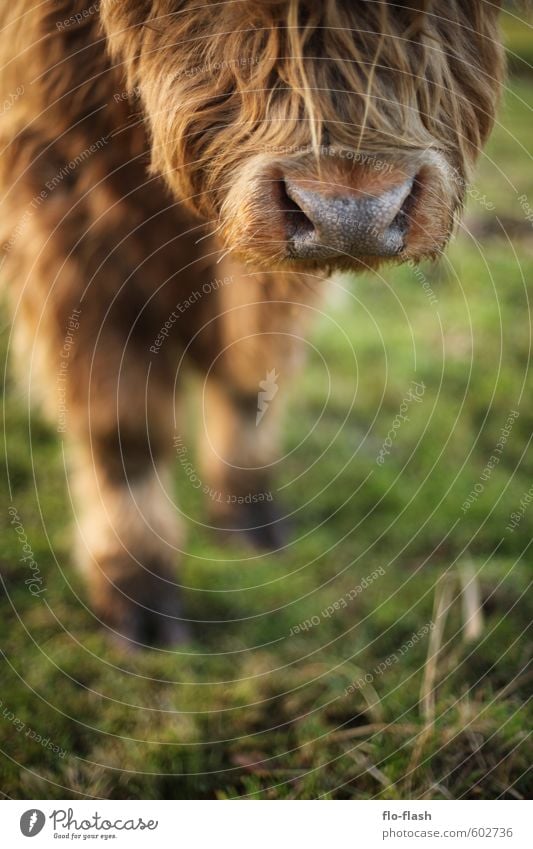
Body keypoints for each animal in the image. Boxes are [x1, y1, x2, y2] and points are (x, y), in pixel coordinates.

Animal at [0, 0, 502, 644]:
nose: (352, 214)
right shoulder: (60, 192)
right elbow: (123, 424)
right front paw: (139, 593)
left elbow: (258, 367)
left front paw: (250, 520)